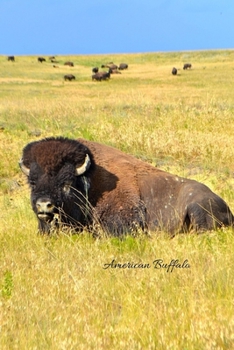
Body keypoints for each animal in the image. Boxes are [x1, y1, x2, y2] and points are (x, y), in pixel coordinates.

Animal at [19, 137, 233, 235]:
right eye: (32, 182)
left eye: (67, 182)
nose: (44, 205)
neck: (89, 182)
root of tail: (227, 208)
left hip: (197, 208)